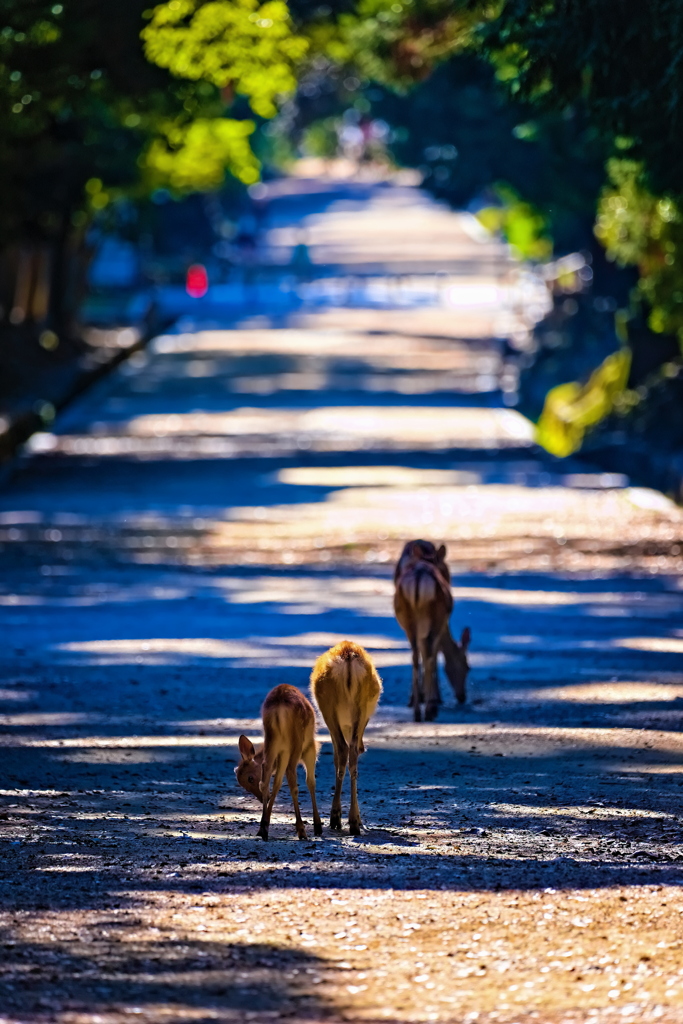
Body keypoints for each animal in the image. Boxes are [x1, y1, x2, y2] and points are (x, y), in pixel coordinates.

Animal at [233, 684, 321, 843]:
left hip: (273, 741)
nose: (262, 799)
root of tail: (278, 709)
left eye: (249, 779)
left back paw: (263, 829)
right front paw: (318, 826)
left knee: (266, 778)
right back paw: (302, 831)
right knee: (292, 779)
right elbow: (311, 782)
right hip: (297, 744)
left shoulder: (282, 753)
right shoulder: (310, 749)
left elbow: (277, 783)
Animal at [311, 643, 382, 835]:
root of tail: (348, 656)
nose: (365, 747)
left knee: (342, 750)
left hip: (329, 708)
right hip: (361, 707)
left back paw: (336, 818)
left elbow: (336, 756)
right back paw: (354, 821)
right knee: (352, 752)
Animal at [395, 536, 471, 720]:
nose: (462, 696)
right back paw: (430, 708)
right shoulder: (441, 622)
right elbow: (434, 654)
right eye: (467, 667)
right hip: (435, 618)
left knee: (415, 655)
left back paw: (417, 709)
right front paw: (434, 698)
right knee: (429, 655)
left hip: (408, 620)